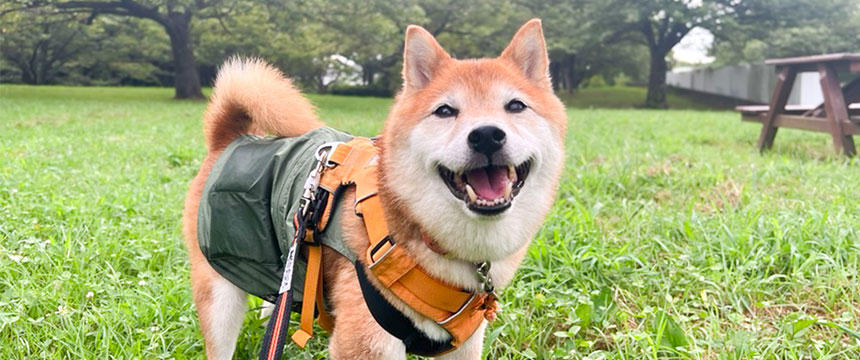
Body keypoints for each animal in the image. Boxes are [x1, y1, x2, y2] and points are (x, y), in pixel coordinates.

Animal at [183, 19, 564, 360]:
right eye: (445, 111)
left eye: (516, 106)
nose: (486, 135)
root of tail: (230, 140)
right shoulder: (366, 342)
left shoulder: (465, 345)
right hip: (219, 294)